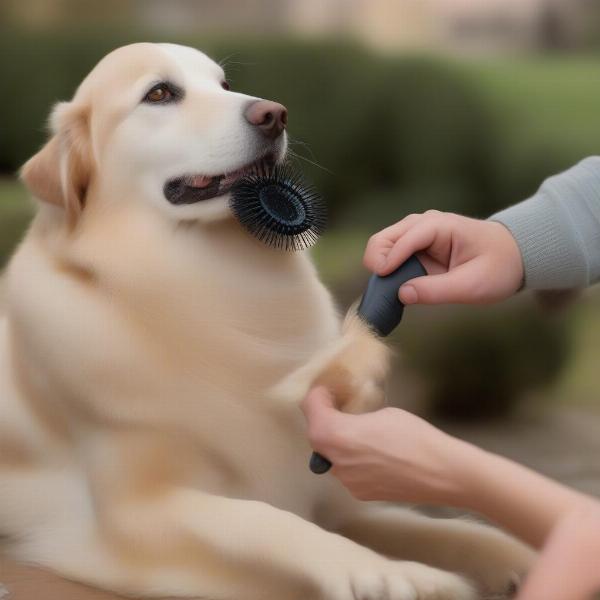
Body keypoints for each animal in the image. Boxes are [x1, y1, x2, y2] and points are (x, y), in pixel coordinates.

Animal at [1, 43, 536, 600]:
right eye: (160, 93)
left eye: (225, 84)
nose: (274, 114)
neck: (206, 283)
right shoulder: (136, 517)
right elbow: (267, 520)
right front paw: (391, 573)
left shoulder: (327, 496)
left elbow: (431, 526)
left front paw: (514, 552)